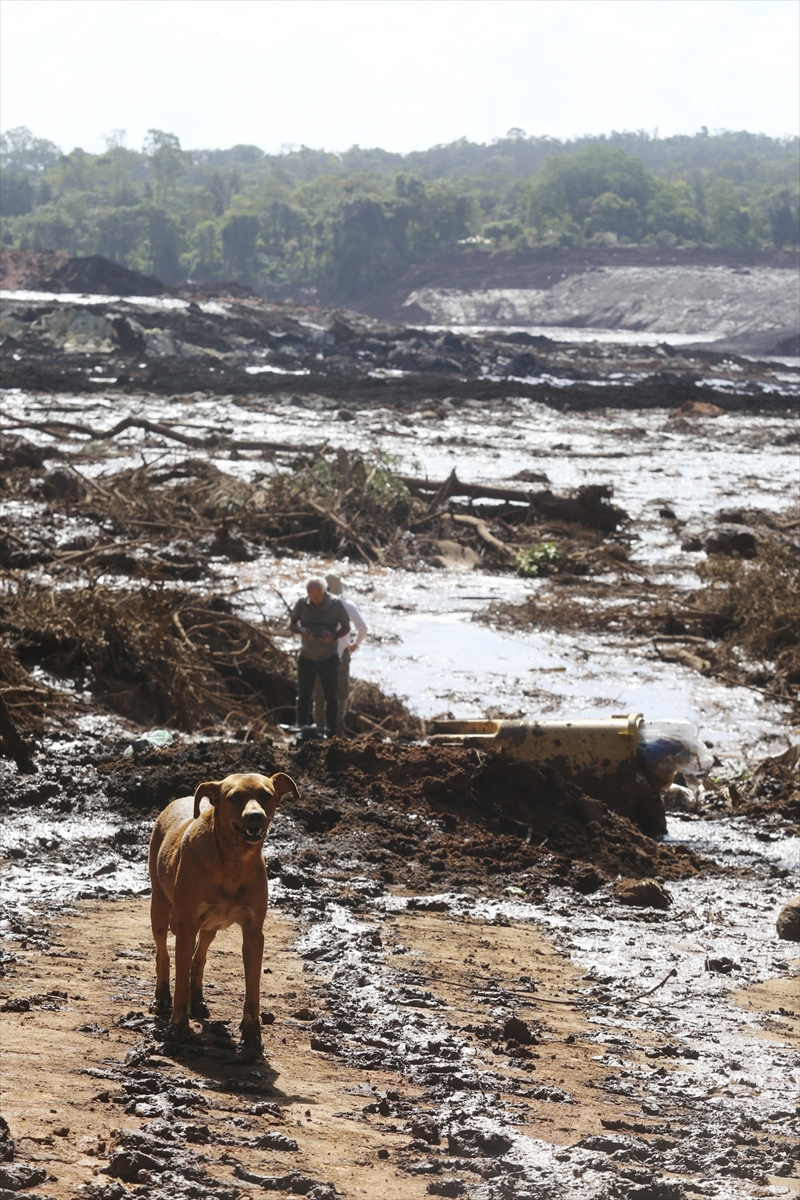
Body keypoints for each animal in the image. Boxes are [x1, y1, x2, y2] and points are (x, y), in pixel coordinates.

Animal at [146, 772, 297, 1056]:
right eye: (234, 797)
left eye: (266, 795)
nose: (255, 816)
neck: (233, 860)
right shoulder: (186, 925)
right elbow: (179, 980)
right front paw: (178, 1026)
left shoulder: (253, 932)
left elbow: (253, 988)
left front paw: (252, 1034)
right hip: (159, 906)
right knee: (163, 953)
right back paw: (162, 998)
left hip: (211, 925)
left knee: (199, 957)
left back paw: (197, 1000)